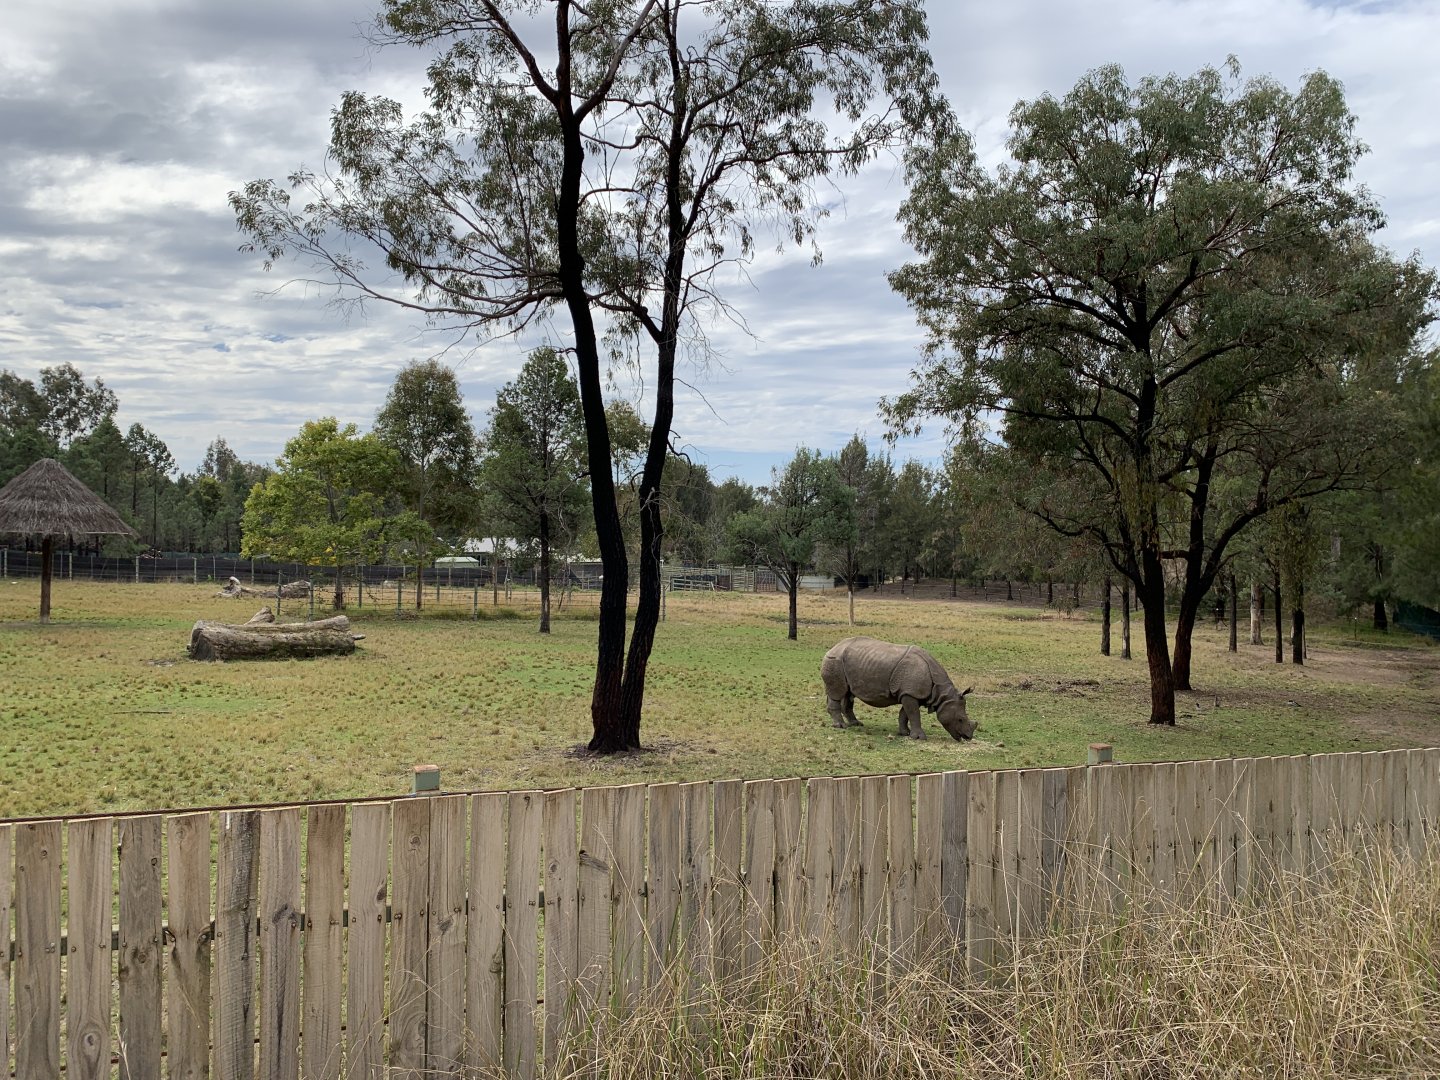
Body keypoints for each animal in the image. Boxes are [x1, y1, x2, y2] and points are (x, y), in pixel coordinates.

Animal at [821, 636, 975, 740]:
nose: (968, 737)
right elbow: (913, 714)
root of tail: (833, 647)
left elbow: (905, 714)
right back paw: (841, 726)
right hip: (835, 661)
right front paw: (920, 738)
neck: (941, 694)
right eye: (960, 719)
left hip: (843, 663)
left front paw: (905, 733)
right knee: (837, 692)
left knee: (848, 693)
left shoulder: (909, 693)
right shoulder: (910, 693)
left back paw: (856, 724)